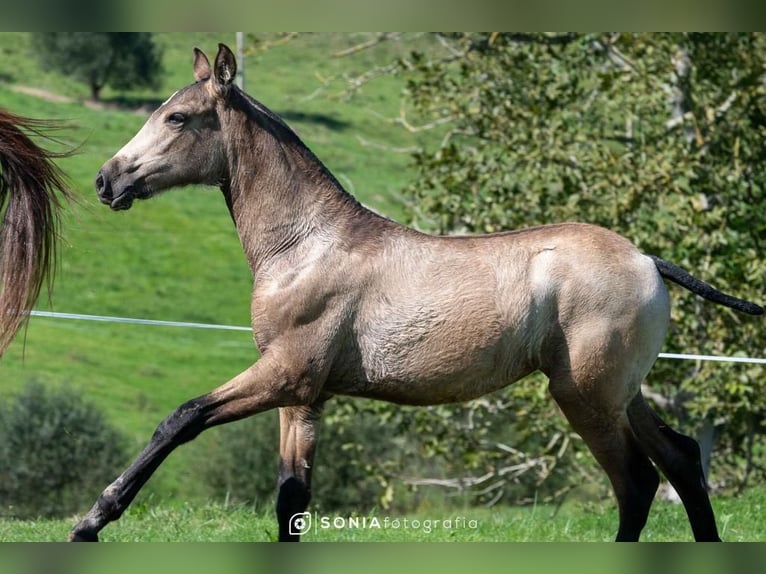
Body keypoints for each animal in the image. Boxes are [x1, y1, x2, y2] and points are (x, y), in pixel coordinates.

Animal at [70, 45, 760, 544]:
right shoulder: (304, 397)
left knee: (637, 482)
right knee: (681, 461)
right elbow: (291, 500)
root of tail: (648, 259)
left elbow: (181, 418)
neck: (305, 244)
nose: (107, 180)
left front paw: (91, 521)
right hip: (623, 393)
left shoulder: (285, 374)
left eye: (177, 117)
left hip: (586, 395)